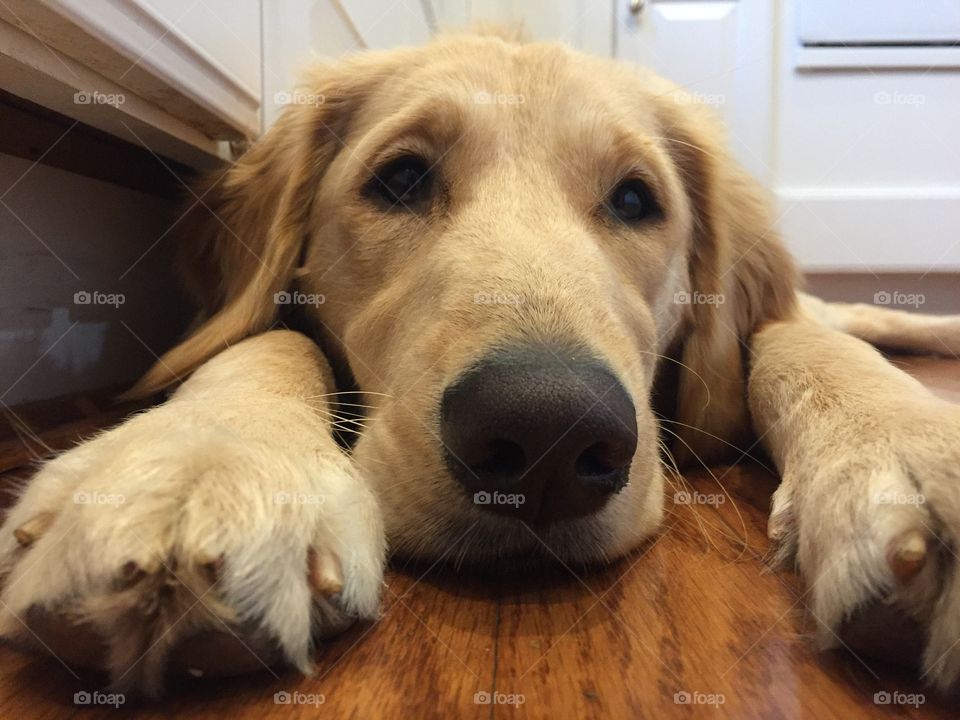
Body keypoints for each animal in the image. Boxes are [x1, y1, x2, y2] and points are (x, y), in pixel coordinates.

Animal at [1, 29, 960, 696]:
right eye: (399, 180)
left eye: (635, 200)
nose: (547, 439)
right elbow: (266, 339)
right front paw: (199, 459)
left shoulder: (764, 336)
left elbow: (799, 340)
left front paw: (910, 446)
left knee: (849, 316)